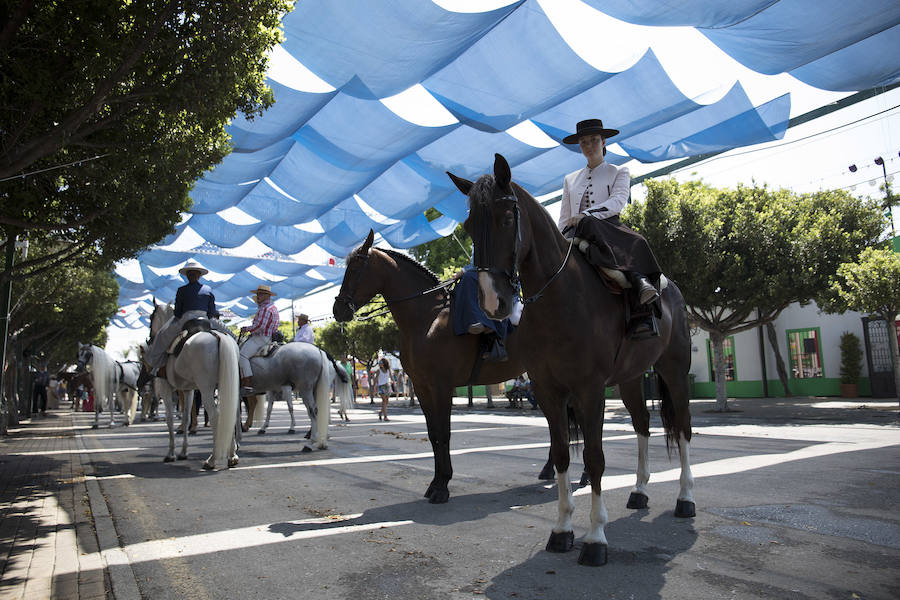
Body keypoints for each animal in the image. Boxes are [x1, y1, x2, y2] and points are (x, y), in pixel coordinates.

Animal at [149, 300, 239, 468]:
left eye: (151, 317)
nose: (150, 338)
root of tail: (216, 336)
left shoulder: (165, 387)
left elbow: (170, 419)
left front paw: (171, 454)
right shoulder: (188, 390)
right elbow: (186, 418)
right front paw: (183, 452)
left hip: (206, 389)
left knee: (216, 416)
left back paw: (212, 459)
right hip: (225, 386)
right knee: (228, 414)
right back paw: (232, 456)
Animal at [450, 155, 696, 568]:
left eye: (506, 218)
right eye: (469, 226)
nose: (492, 301)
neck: (561, 298)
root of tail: (671, 288)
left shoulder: (589, 390)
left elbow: (595, 459)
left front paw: (595, 538)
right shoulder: (549, 391)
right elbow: (563, 455)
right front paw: (562, 530)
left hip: (674, 371)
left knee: (684, 429)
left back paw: (685, 498)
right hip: (630, 379)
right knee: (643, 425)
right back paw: (639, 491)